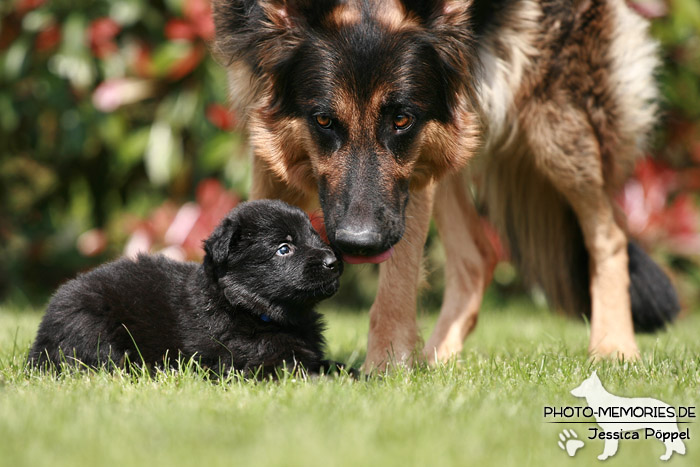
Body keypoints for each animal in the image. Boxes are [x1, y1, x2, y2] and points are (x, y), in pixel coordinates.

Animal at [27, 200, 344, 376]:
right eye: (283, 248)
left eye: (315, 236)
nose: (333, 262)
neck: (245, 308)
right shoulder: (257, 362)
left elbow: (334, 365)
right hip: (93, 327)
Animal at [212, 0, 680, 372]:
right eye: (324, 120)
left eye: (402, 120)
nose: (359, 245)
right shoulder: (266, 124)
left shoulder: (417, 154)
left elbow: (398, 281)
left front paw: (385, 372)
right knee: (477, 255)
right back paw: (438, 362)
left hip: (549, 122)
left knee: (609, 234)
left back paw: (614, 348)